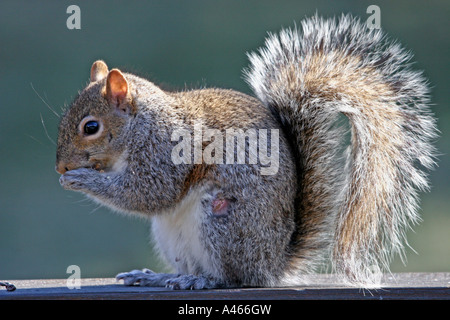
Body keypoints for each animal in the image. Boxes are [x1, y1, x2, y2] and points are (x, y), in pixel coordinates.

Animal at [55, 15, 436, 288]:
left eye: (91, 127)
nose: (60, 167)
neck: (143, 124)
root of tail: (272, 264)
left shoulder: (165, 153)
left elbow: (149, 194)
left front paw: (82, 179)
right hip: (172, 238)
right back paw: (160, 277)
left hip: (223, 223)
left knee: (233, 278)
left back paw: (203, 281)